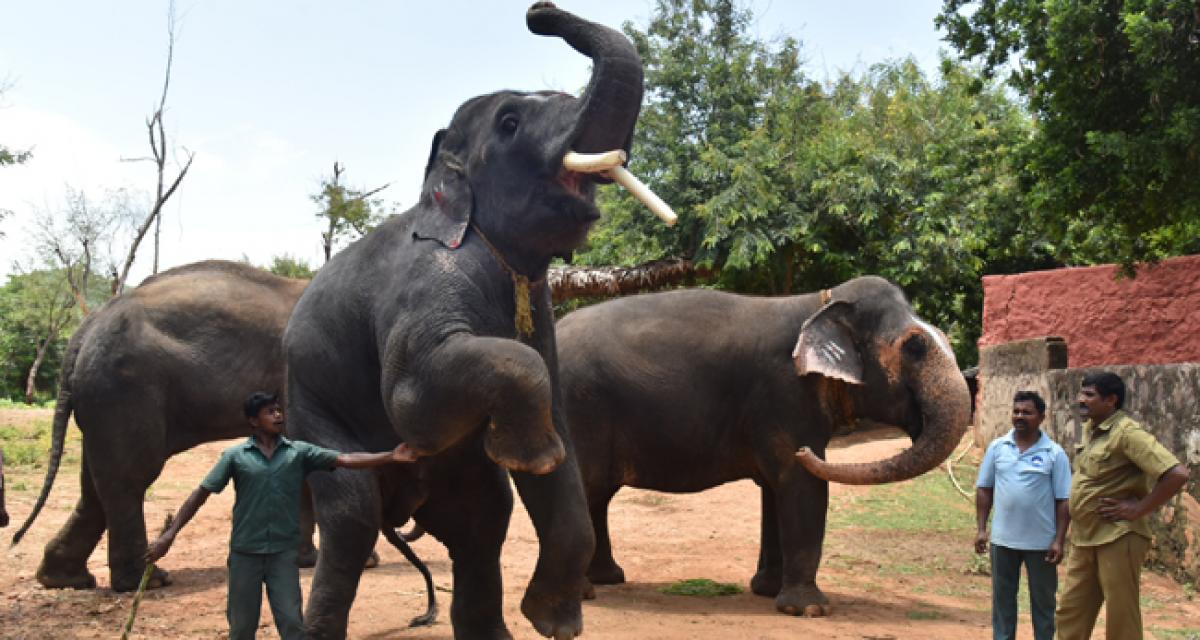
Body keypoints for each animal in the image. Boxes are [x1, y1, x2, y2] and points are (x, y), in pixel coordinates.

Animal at [282, 6, 648, 638]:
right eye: (510, 122)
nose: (539, 14)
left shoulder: (539, 306)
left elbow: (558, 428)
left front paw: (551, 621)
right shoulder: (424, 281)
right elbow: (410, 402)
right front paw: (531, 456)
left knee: (483, 522)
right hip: (311, 409)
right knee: (352, 516)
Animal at [556, 274, 969, 614]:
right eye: (915, 347)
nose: (807, 451)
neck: (820, 303)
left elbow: (776, 488)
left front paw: (767, 591)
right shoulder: (785, 394)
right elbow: (800, 484)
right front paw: (809, 610)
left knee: (598, 493)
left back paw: (608, 580)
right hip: (580, 407)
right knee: (586, 486)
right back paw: (582, 594)